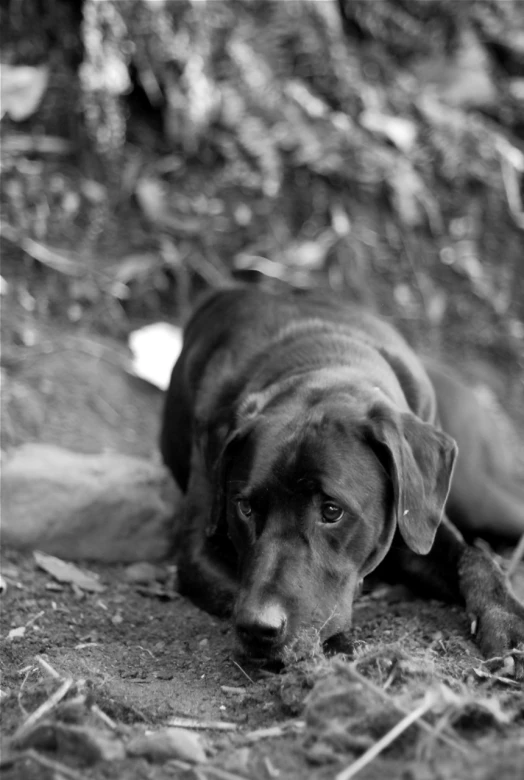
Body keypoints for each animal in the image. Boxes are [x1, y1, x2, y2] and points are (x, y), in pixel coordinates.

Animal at [160, 286, 524, 672]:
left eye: (332, 511)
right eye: (244, 508)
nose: (258, 628)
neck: (324, 360)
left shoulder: (419, 525)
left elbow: (476, 558)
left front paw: (508, 620)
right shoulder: (199, 555)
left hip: (481, 500)